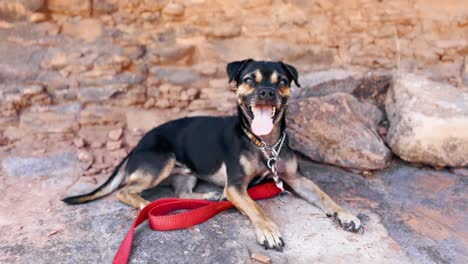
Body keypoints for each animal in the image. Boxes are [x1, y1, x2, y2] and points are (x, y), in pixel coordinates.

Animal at [63, 58, 362, 251]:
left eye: (283, 81)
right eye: (249, 80)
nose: (266, 92)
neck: (263, 142)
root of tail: (136, 147)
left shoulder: (296, 178)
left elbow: (324, 196)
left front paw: (345, 214)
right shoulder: (236, 187)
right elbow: (255, 207)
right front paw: (268, 230)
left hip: (186, 174)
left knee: (182, 193)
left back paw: (208, 196)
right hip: (162, 159)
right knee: (126, 191)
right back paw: (145, 205)